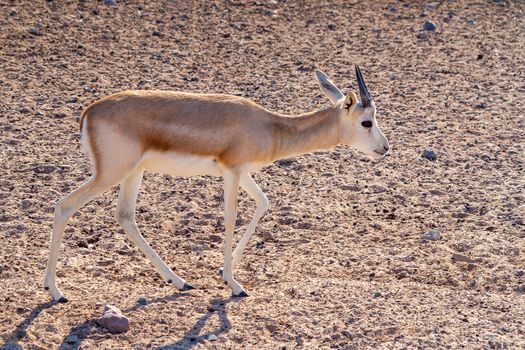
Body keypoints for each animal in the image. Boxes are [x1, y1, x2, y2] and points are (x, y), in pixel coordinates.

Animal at [44, 65, 388, 300]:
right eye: (366, 122)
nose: (385, 148)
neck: (269, 126)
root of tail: (90, 111)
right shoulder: (232, 171)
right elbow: (231, 216)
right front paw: (234, 284)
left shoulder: (243, 172)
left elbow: (263, 203)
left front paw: (226, 271)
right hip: (112, 173)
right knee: (64, 206)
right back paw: (55, 291)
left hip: (133, 173)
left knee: (125, 217)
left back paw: (179, 281)